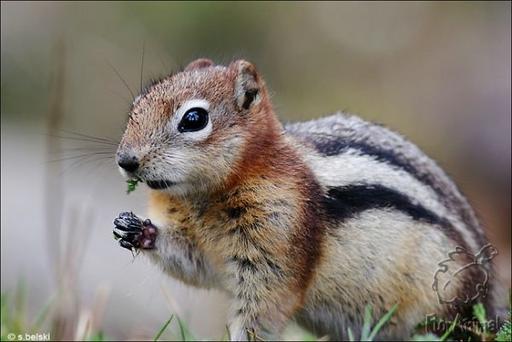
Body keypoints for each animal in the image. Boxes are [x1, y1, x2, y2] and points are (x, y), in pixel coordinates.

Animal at [112, 58, 500, 340]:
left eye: (194, 118)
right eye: (136, 104)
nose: (125, 160)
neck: (201, 199)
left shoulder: (276, 241)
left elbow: (265, 307)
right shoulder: (204, 247)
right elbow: (194, 263)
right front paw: (135, 230)